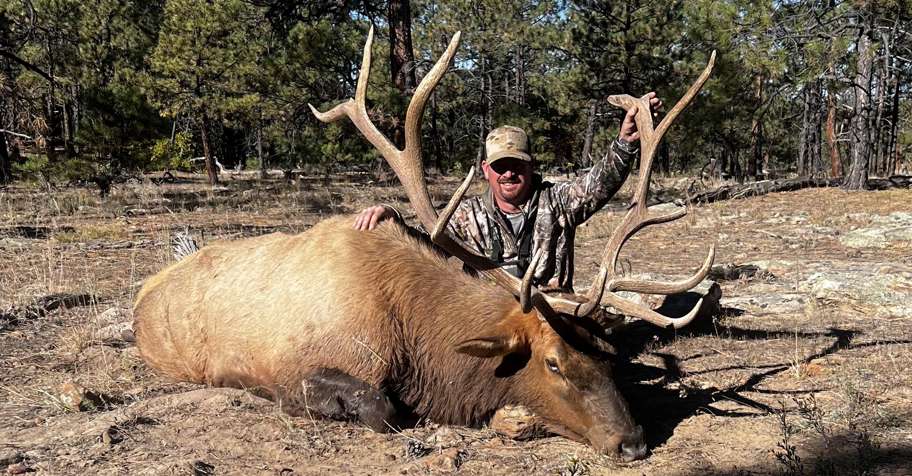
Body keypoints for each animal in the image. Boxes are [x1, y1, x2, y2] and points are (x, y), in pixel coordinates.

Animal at [132, 28, 716, 462]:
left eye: (609, 356)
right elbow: (383, 411)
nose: (633, 443)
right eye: (553, 363)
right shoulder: (294, 368)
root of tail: (143, 293)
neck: (415, 345)